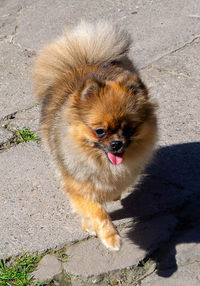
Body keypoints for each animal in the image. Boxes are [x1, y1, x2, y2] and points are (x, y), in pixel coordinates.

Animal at [32, 21, 157, 250]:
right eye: (100, 131)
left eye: (129, 129)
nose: (116, 144)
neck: (101, 164)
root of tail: (85, 60)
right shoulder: (77, 187)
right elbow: (96, 211)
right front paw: (110, 237)